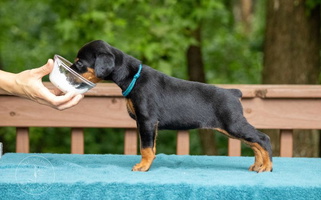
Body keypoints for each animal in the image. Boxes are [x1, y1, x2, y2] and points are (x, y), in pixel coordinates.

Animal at [70, 39, 272, 173]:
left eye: (79, 63)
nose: (69, 74)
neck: (133, 76)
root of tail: (233, 93)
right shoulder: (148, 124)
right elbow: (151, 147)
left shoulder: (147, 120)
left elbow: (146, 147)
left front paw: (143, 166)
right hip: (231, 128)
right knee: (254, 143)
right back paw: (258, 165)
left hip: (233, 124)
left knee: (263, 139)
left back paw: (267, 166)